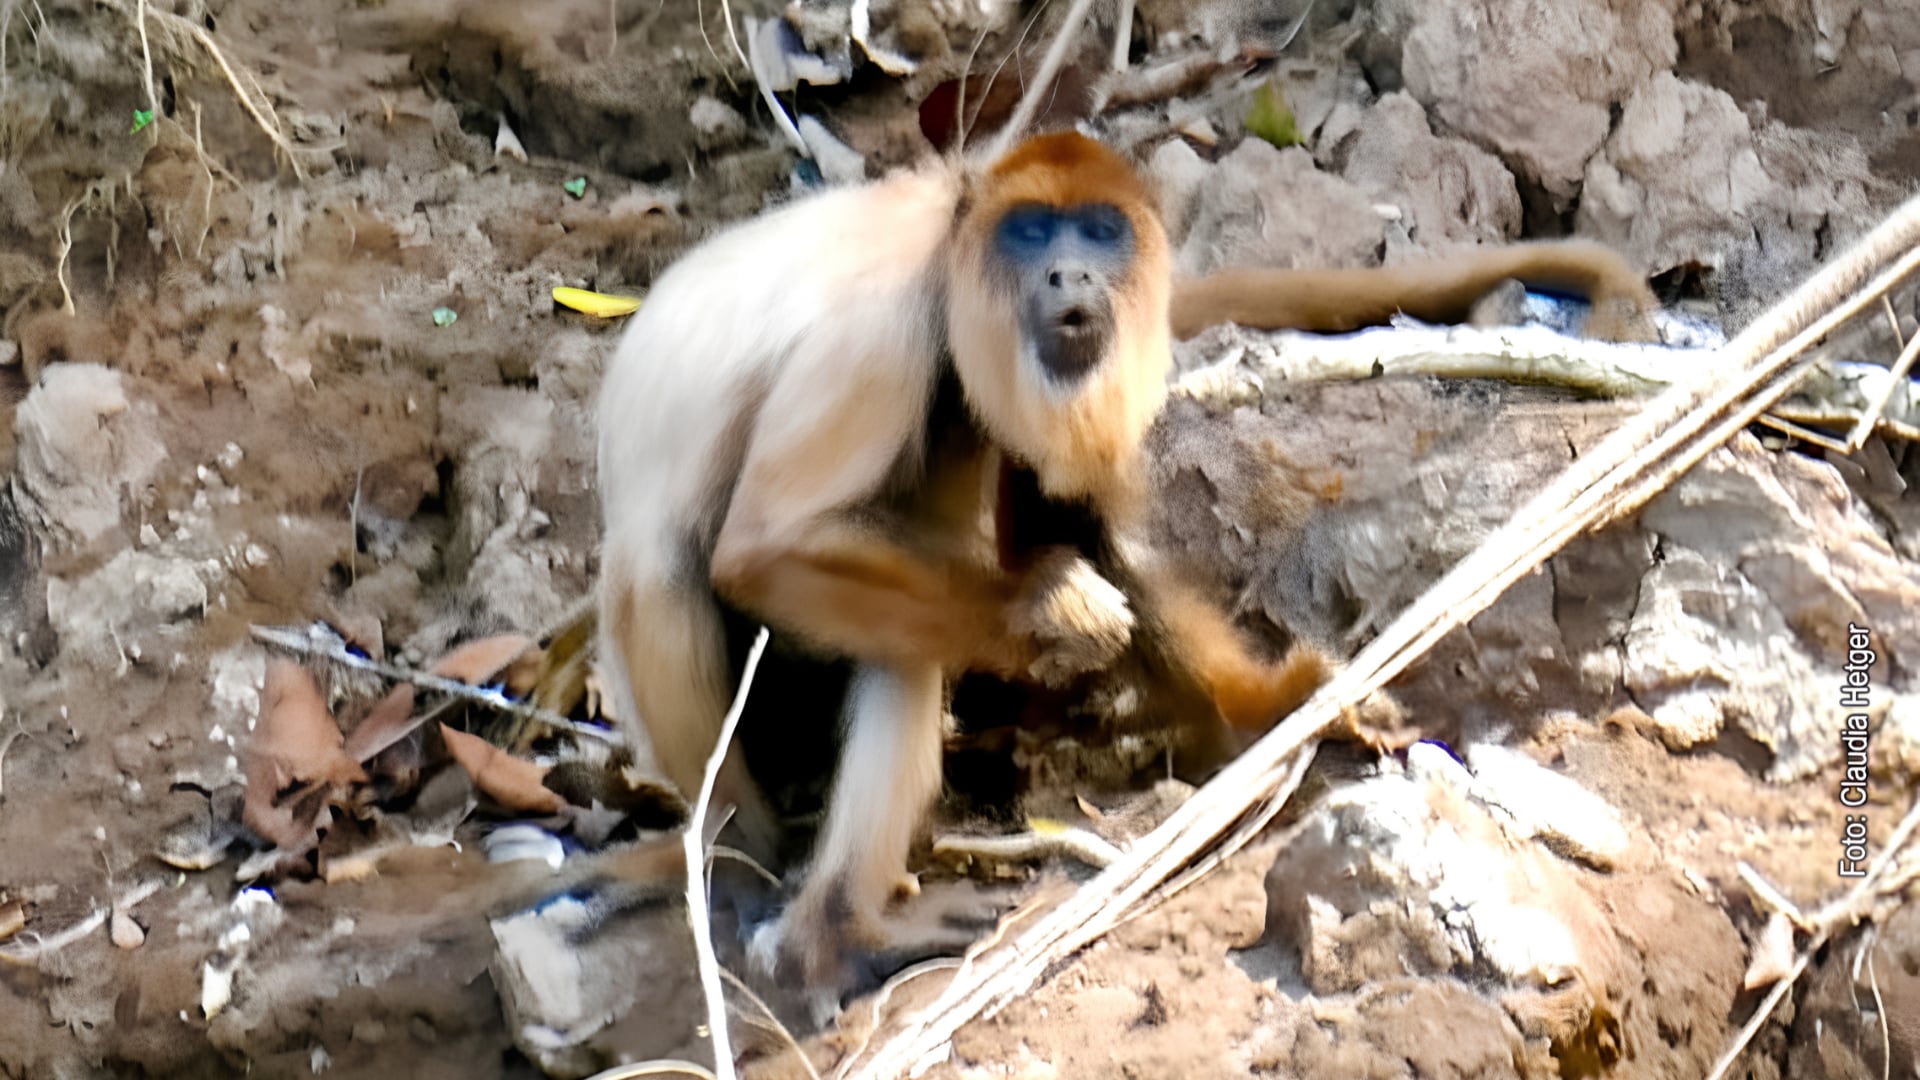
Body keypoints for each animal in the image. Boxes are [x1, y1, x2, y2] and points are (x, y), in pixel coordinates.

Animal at [593, 128, 1657, 1008]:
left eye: (1099, 230)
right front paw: (1050, 613)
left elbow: (1095, 534)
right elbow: (767, 547)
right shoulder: (878, 328)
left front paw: (1272, 706)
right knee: (729, 600)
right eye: (1031, 232)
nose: (1068, 270)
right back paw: (835, 931)